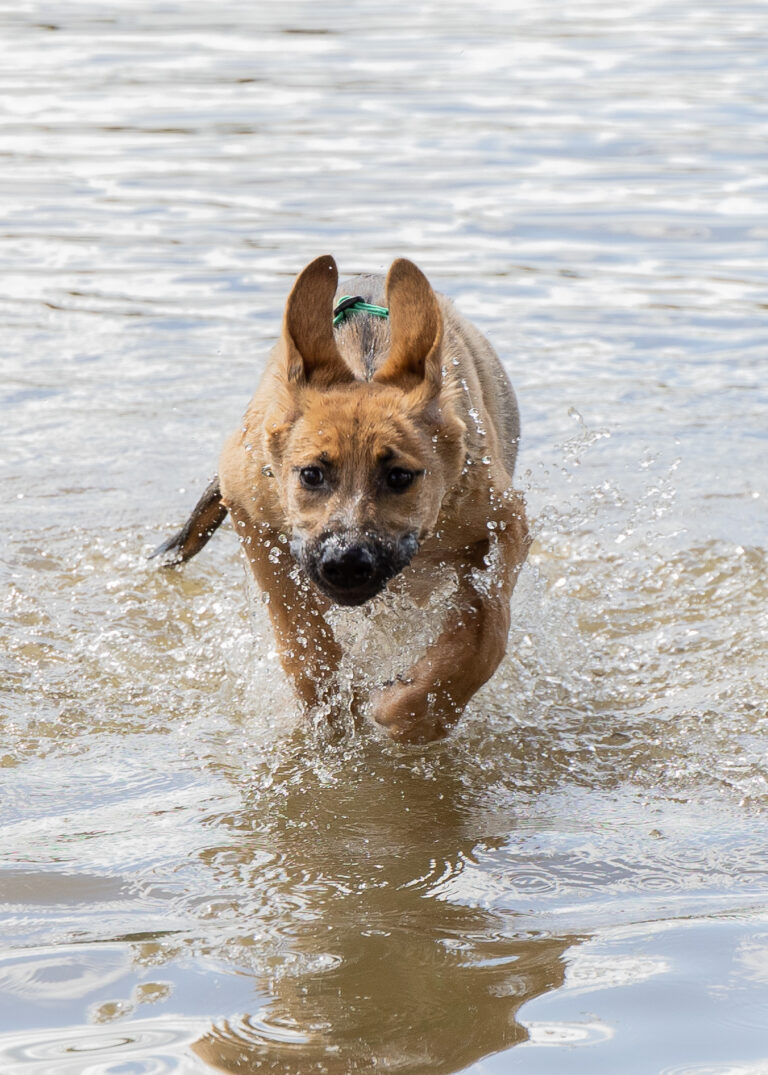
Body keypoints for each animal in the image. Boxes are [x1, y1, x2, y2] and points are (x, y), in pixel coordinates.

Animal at [152, 255, 529, 743]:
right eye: (311, 474)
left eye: (400, 476)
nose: (346, 562)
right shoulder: (251, 512)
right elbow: (298, 630)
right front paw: (330, 710)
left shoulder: (504, 522)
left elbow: (486, 629)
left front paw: (414, 712)